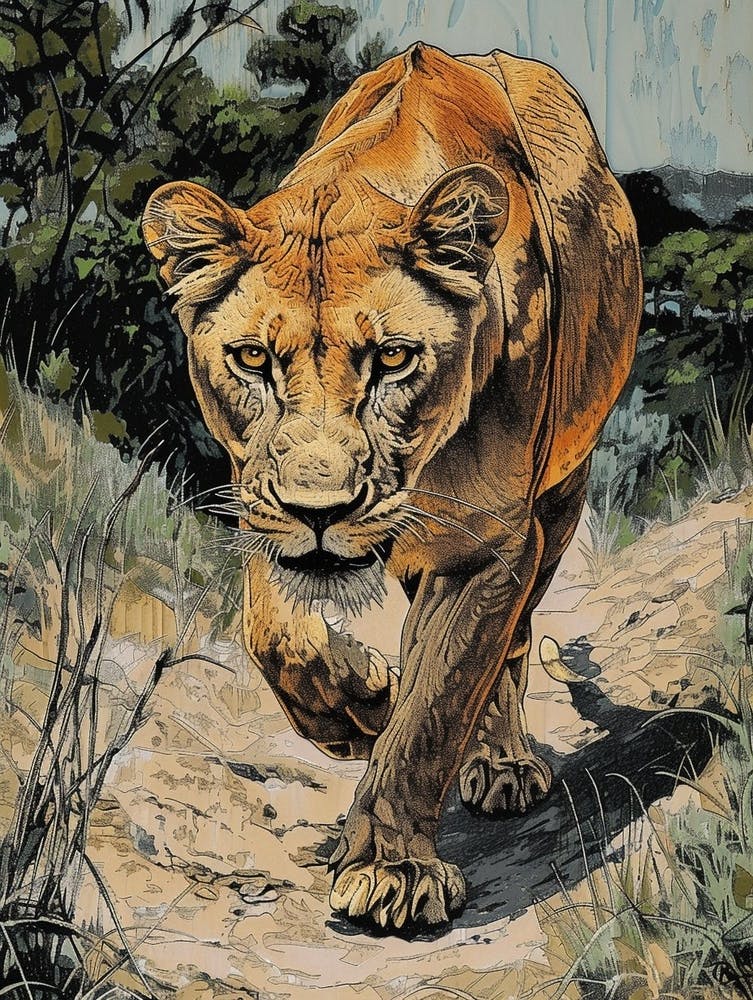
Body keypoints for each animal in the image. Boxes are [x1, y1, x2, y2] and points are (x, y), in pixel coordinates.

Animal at [142, 43, 641, 934]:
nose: (321, 512)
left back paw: (502, 763)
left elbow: (438, 703)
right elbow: (275, 635)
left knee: (512, 642)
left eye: (394, 359)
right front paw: (357, 708)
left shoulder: (490, 543)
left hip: (561, 494)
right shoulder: (259, 500)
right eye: (252, 360)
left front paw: (391, 870)